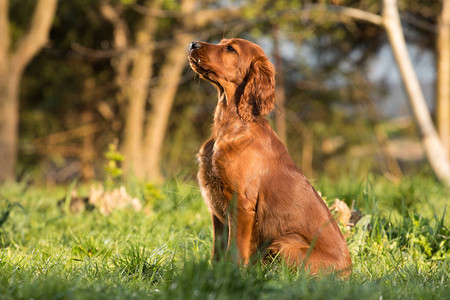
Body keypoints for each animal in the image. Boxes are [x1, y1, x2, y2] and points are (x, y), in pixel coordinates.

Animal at [188, 38, 350, 276]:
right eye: (221, 42)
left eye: (230, 48)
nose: (192, 44)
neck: (231, 124)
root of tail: (348, 271)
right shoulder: (217, 210)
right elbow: (217, 251)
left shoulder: (241, 204)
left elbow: (234, 250)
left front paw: (231, 276)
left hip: (284, 243)